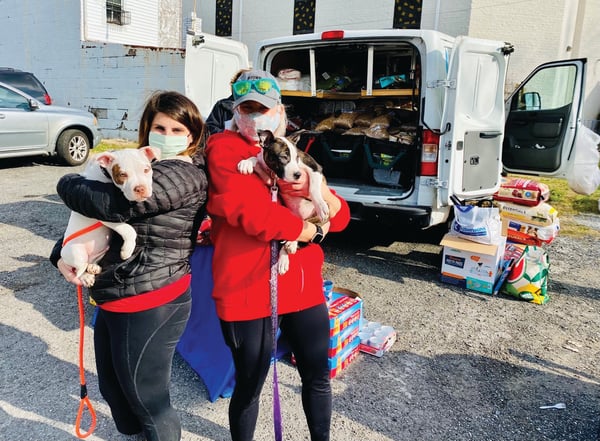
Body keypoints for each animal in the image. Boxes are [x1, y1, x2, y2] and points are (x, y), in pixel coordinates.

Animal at [61, 146, 159, 288]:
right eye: (122, 175)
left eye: (146, 169)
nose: (140, 188)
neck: (105, 174)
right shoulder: (103, 214)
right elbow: (129, 230)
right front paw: (126, 250)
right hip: (76, 252)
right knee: (78, 269)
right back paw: (86, 276)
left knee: (90, 262)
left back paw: (93, 267)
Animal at [237, 129, 328, 274]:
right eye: (283, 157)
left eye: (297, 158)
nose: (298, 175)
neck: (274, 173)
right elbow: (256, 158)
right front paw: (247, 162)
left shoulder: (315, 168)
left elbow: (313, 188)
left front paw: (321, 206)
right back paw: (284, 258)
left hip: (313, 220)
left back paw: (291, 244)